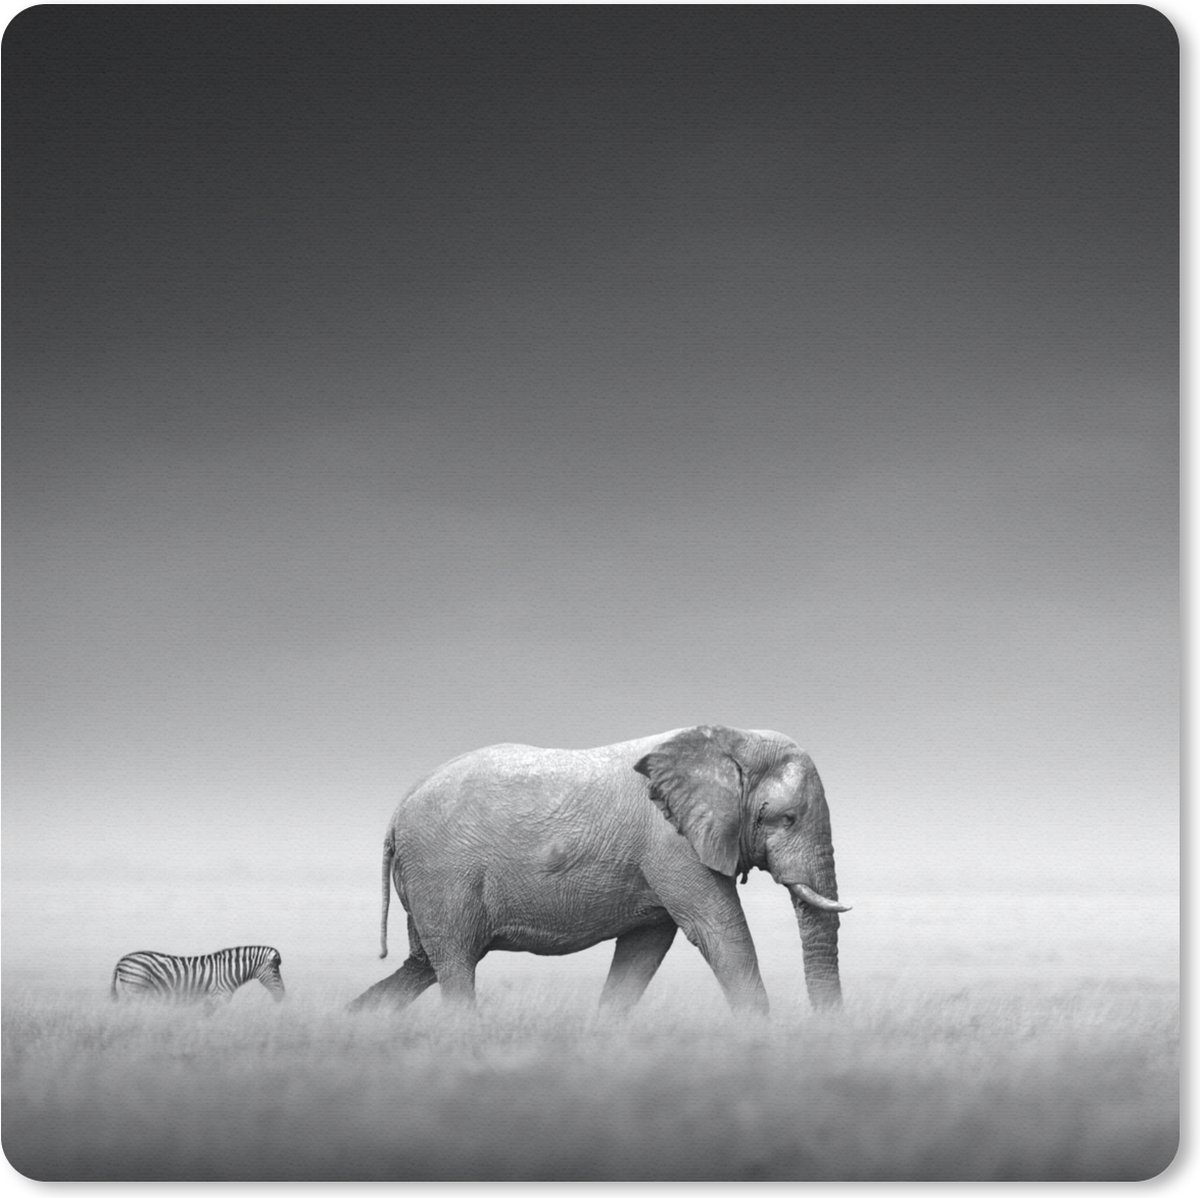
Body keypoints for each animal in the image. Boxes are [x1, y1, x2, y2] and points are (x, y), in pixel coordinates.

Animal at [110, 946, 286, 1007]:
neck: (228, 971)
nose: (282, 996)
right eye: (275, 972)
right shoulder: (219, 997)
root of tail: (122, 959)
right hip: (136, 990)